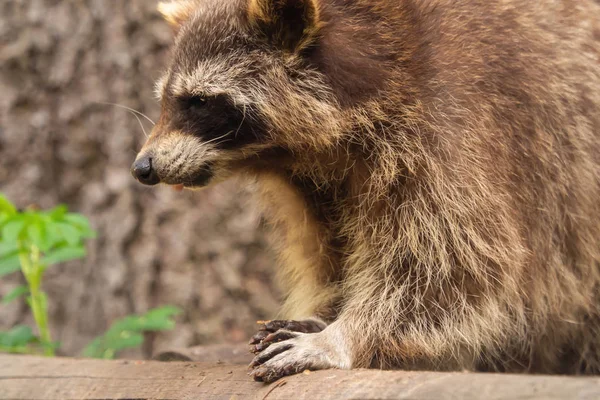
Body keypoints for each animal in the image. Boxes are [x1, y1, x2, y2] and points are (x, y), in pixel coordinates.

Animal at [131, 0, 600, 382]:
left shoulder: (449, 128)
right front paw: (324, 314)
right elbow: (329, 252)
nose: (143, 167)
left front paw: (341, 337)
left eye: (198, 102)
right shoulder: (311, 183)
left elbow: (455, 264)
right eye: (166, 100)